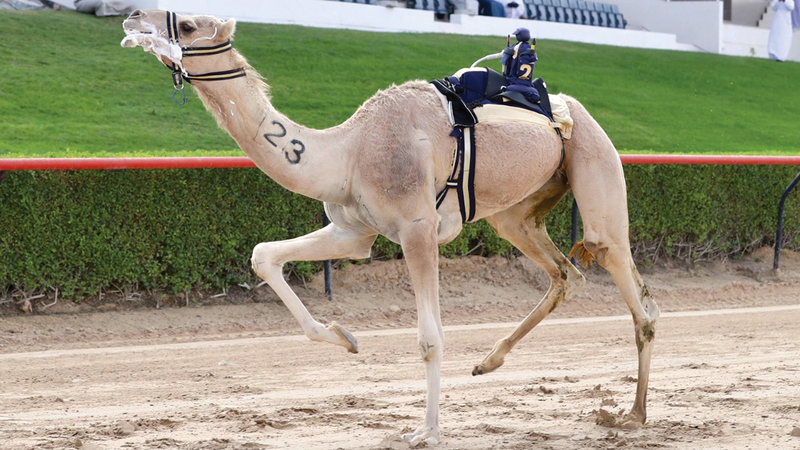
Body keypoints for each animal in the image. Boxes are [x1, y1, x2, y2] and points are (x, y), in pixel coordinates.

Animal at [122, 10, 660, 446]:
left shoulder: (417, 229)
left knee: (628, 283)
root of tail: (570, 108)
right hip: (516, 213)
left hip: (595, 161)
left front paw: (426, 431)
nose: (131, 17)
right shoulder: (353, 232)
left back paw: (631, 415)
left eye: (188, 25)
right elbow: (263, 254)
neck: (348, 152)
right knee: (566, 273)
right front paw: (345, 337)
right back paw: (489, 361)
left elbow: (429, 337)